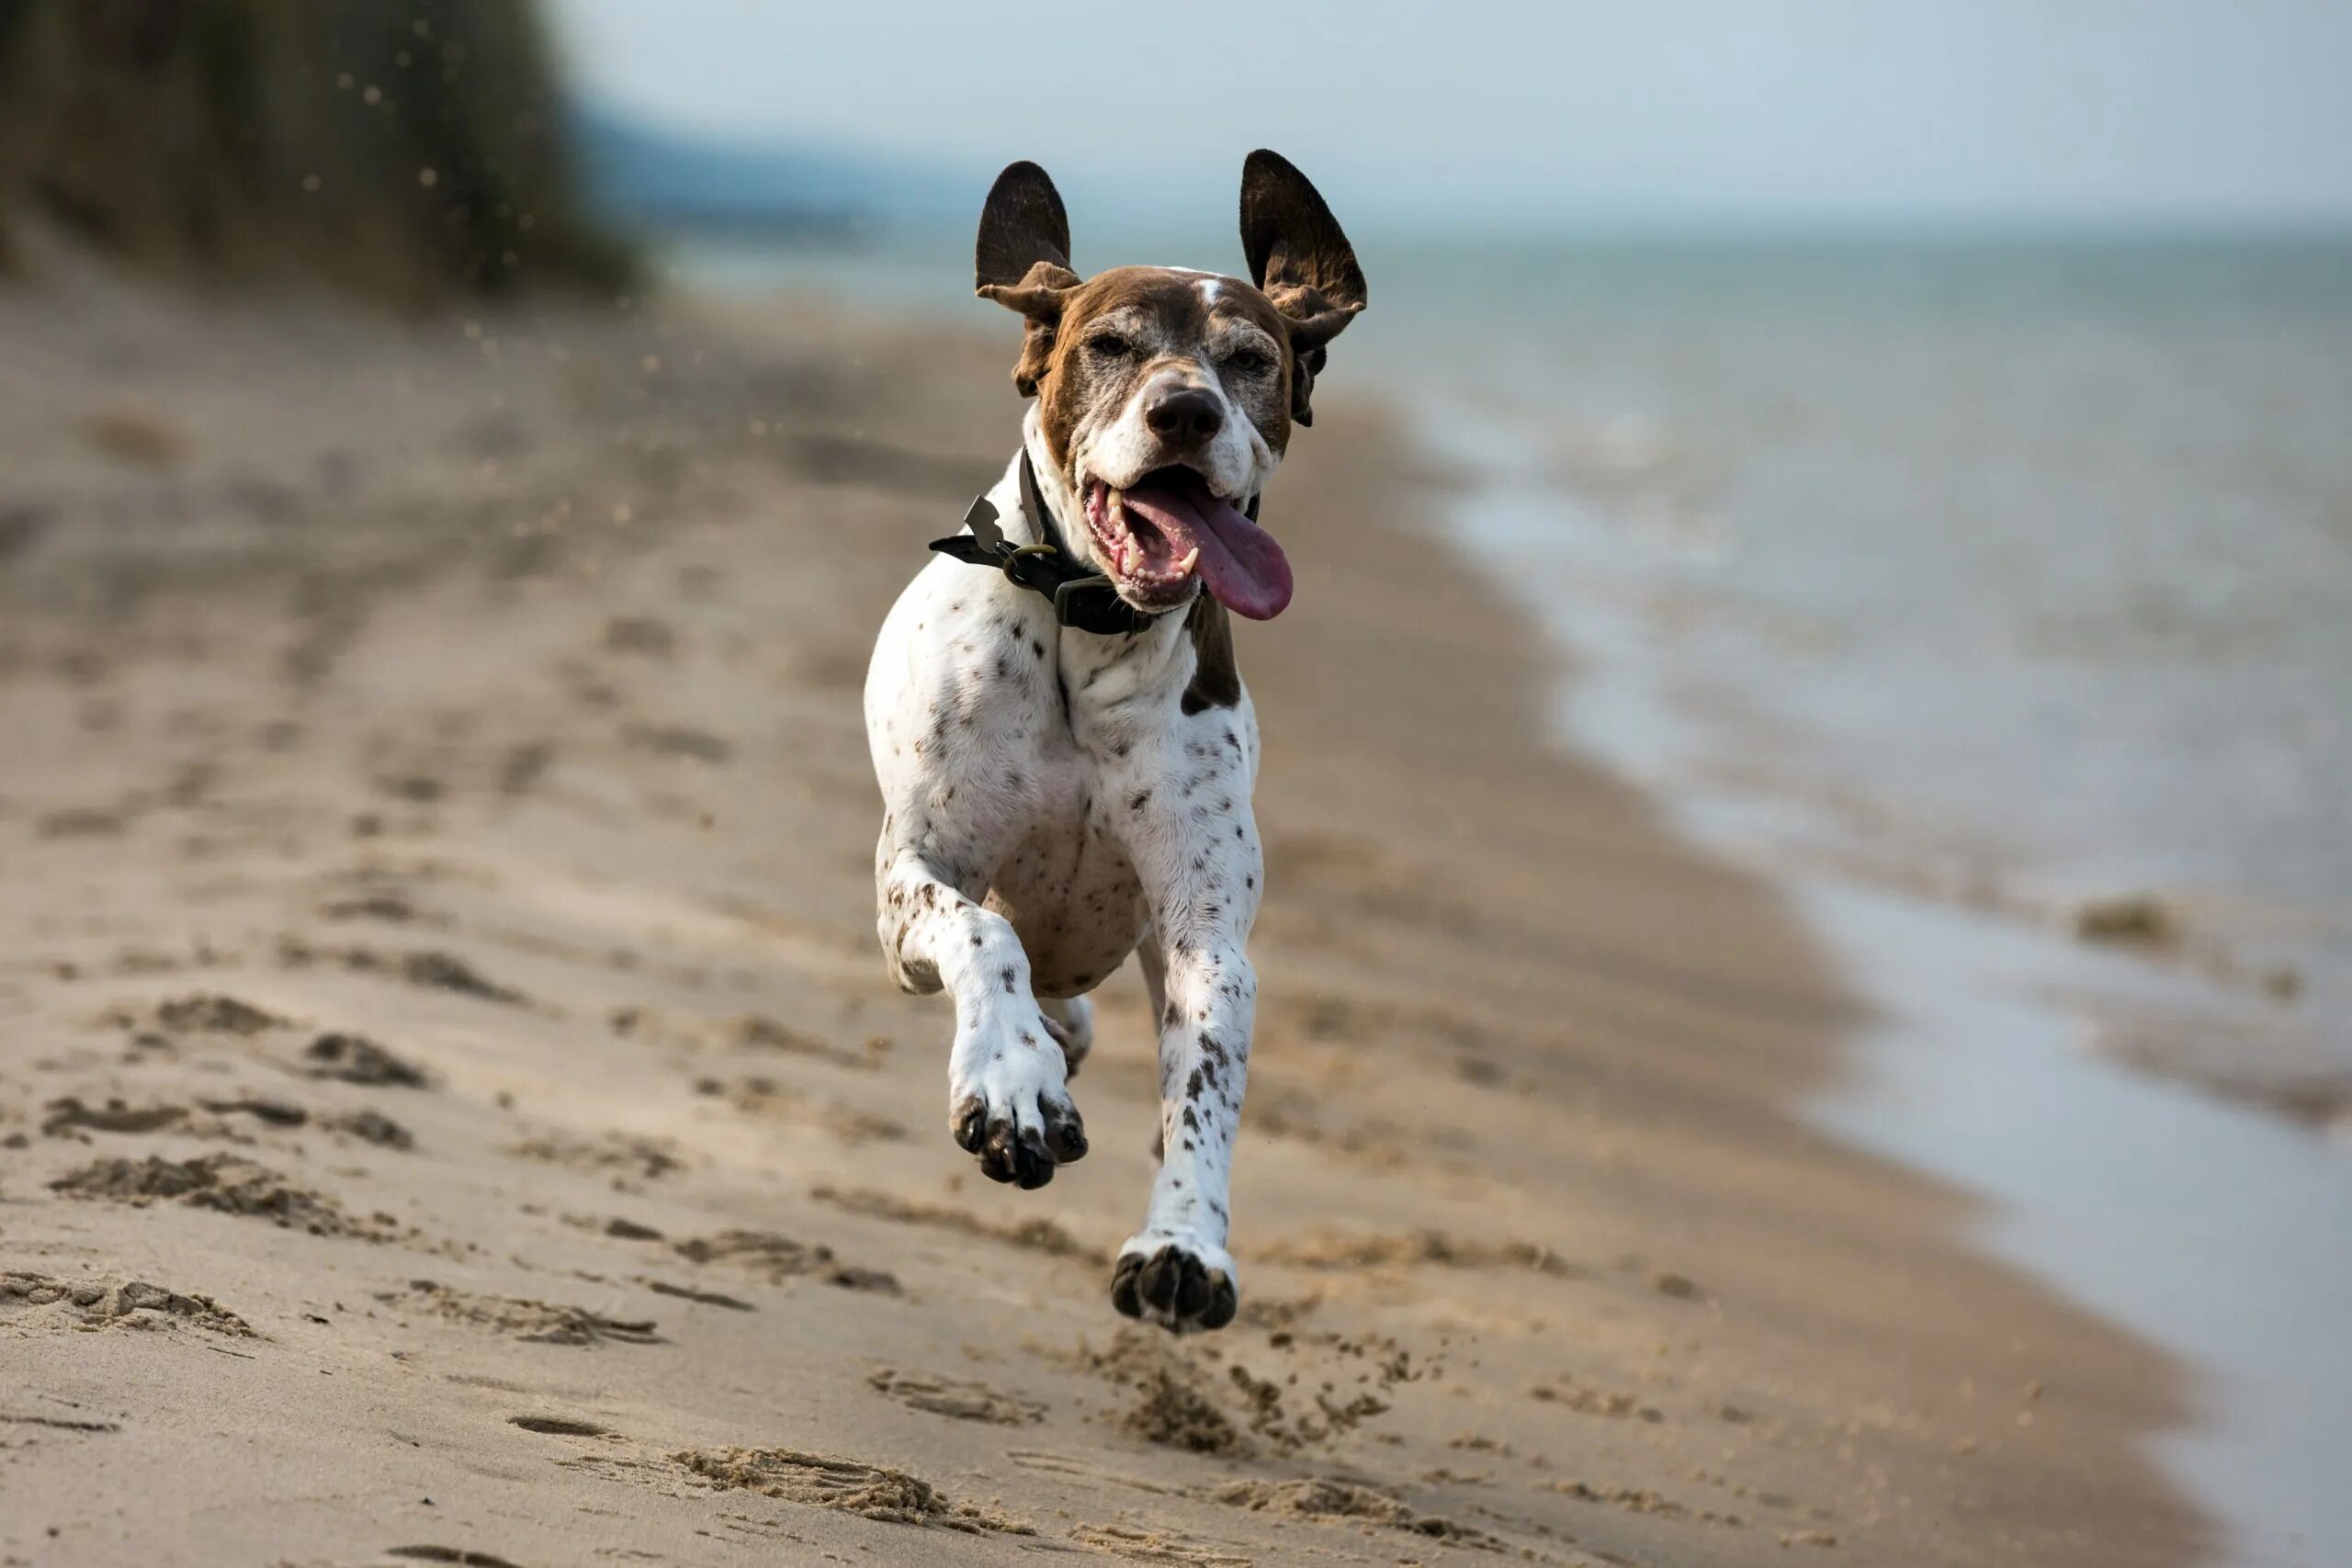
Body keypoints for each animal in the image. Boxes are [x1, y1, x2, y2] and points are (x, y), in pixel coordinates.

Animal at [865, 150, 1363, 1335]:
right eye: (1110, 343)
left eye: (1251, 359)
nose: (1184, 411)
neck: (1092, 627)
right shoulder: (913, 878)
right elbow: (982, 934)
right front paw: (1008, 1085)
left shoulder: (1202, 937)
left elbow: (1205, 1085)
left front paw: (1183, 1244)